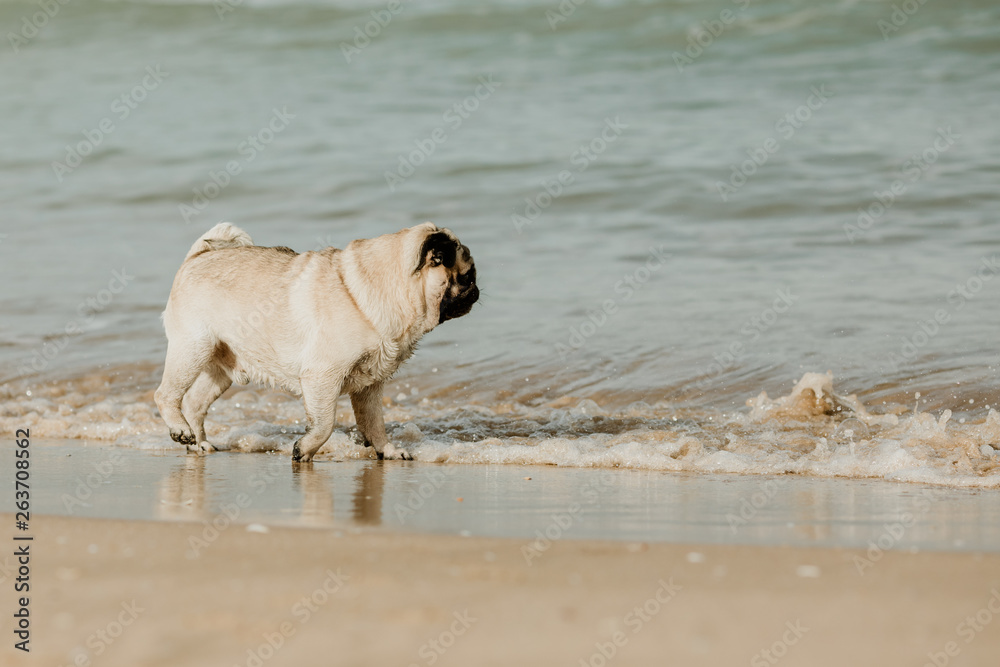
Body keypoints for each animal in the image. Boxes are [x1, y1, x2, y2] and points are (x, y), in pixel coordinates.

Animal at [155, 222, 480, 462]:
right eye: (467, 277)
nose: (477, 291)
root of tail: (197, 257)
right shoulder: (322, 377)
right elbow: (325, 424)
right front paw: (305, 449)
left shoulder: (370, 387)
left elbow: (375, 424)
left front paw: (387, 450)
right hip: (192, 349)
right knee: (166, 395)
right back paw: (180, 430)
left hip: (221, 368)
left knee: (194, 403)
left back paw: (198, 443)